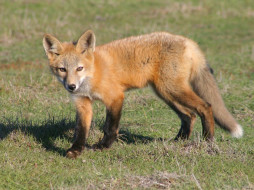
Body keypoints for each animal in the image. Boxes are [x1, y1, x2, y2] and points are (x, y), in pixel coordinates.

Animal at [42, 29, 243, 158]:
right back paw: (178, 141)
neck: (93, 73)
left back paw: (208, 141)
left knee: (205, 107)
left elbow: (110, 127)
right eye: (62, 69)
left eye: (79, 68)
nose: (71, 87)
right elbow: (80, 130)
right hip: (165, 93)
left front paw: (104, 146)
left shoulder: (115, 97)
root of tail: (187, 41)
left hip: (172, 89)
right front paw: (76, 150)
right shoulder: (83, 103)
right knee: (189, 115)